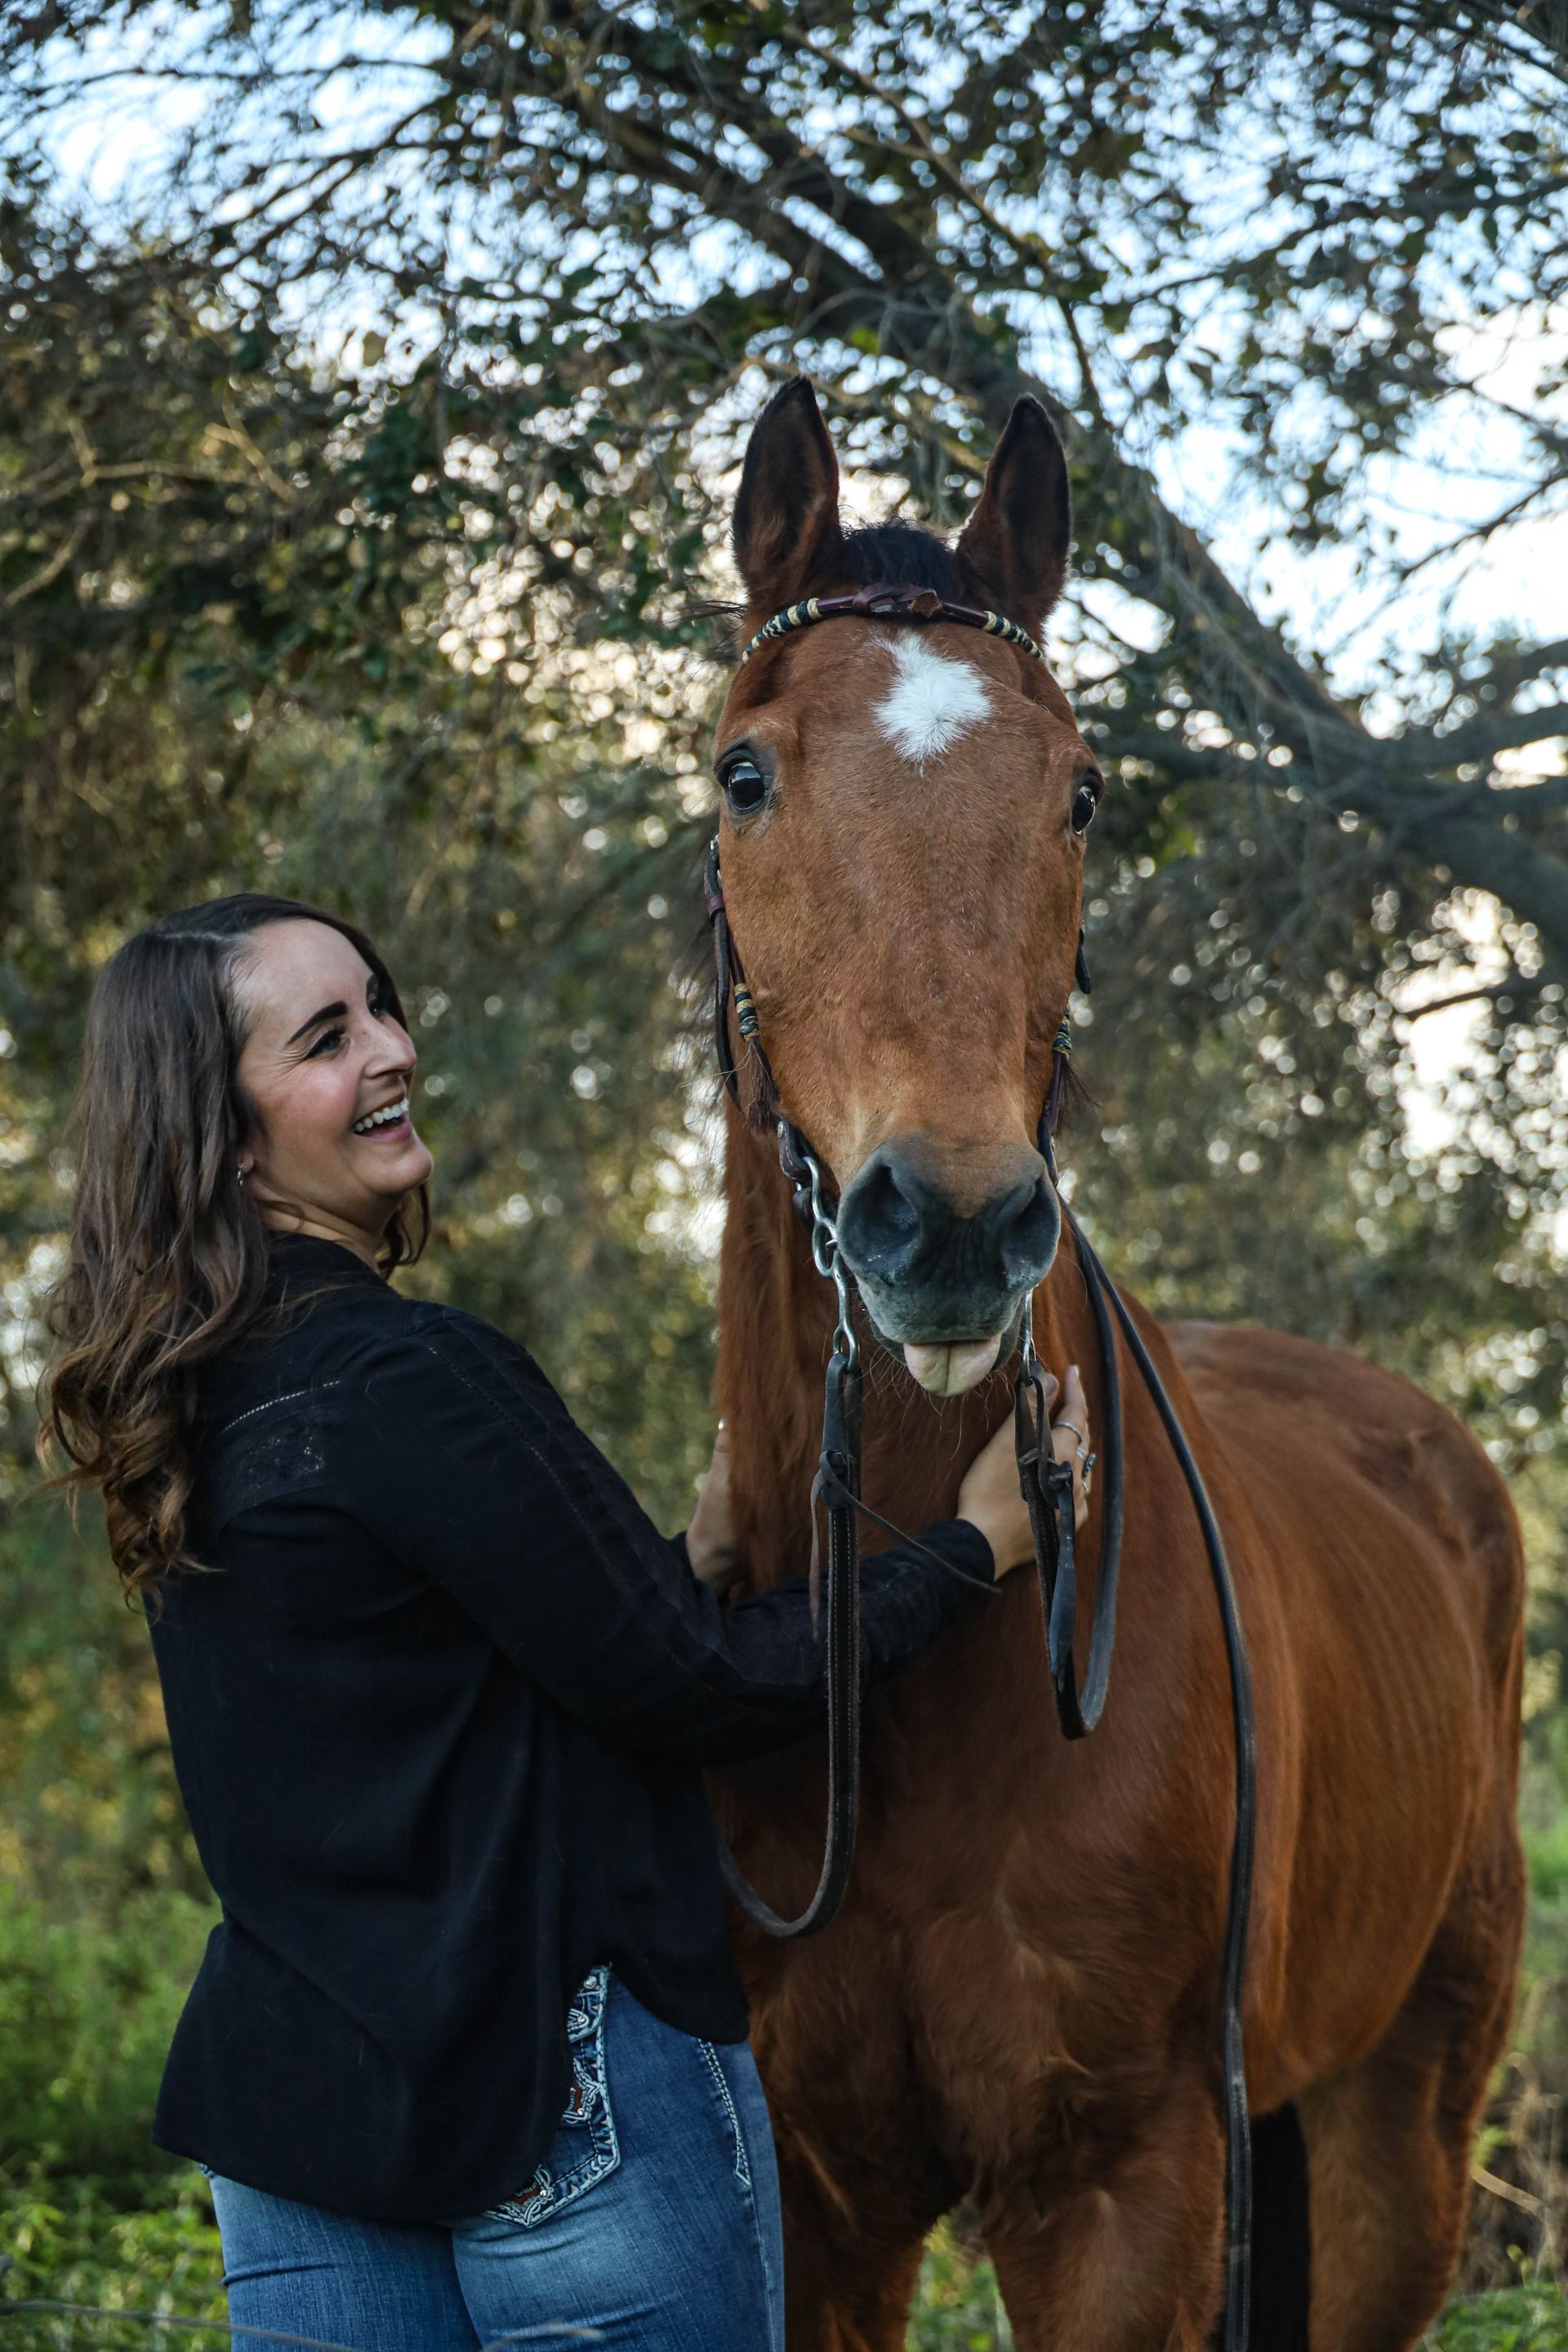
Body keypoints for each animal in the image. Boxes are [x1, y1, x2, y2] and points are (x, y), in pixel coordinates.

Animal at [703, 377, 1526, 2351]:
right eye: (745, 776)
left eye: (1075, 788)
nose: (949, 1220)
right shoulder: (821, 2211)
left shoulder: (1122, 2191)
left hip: (1398, 2140)